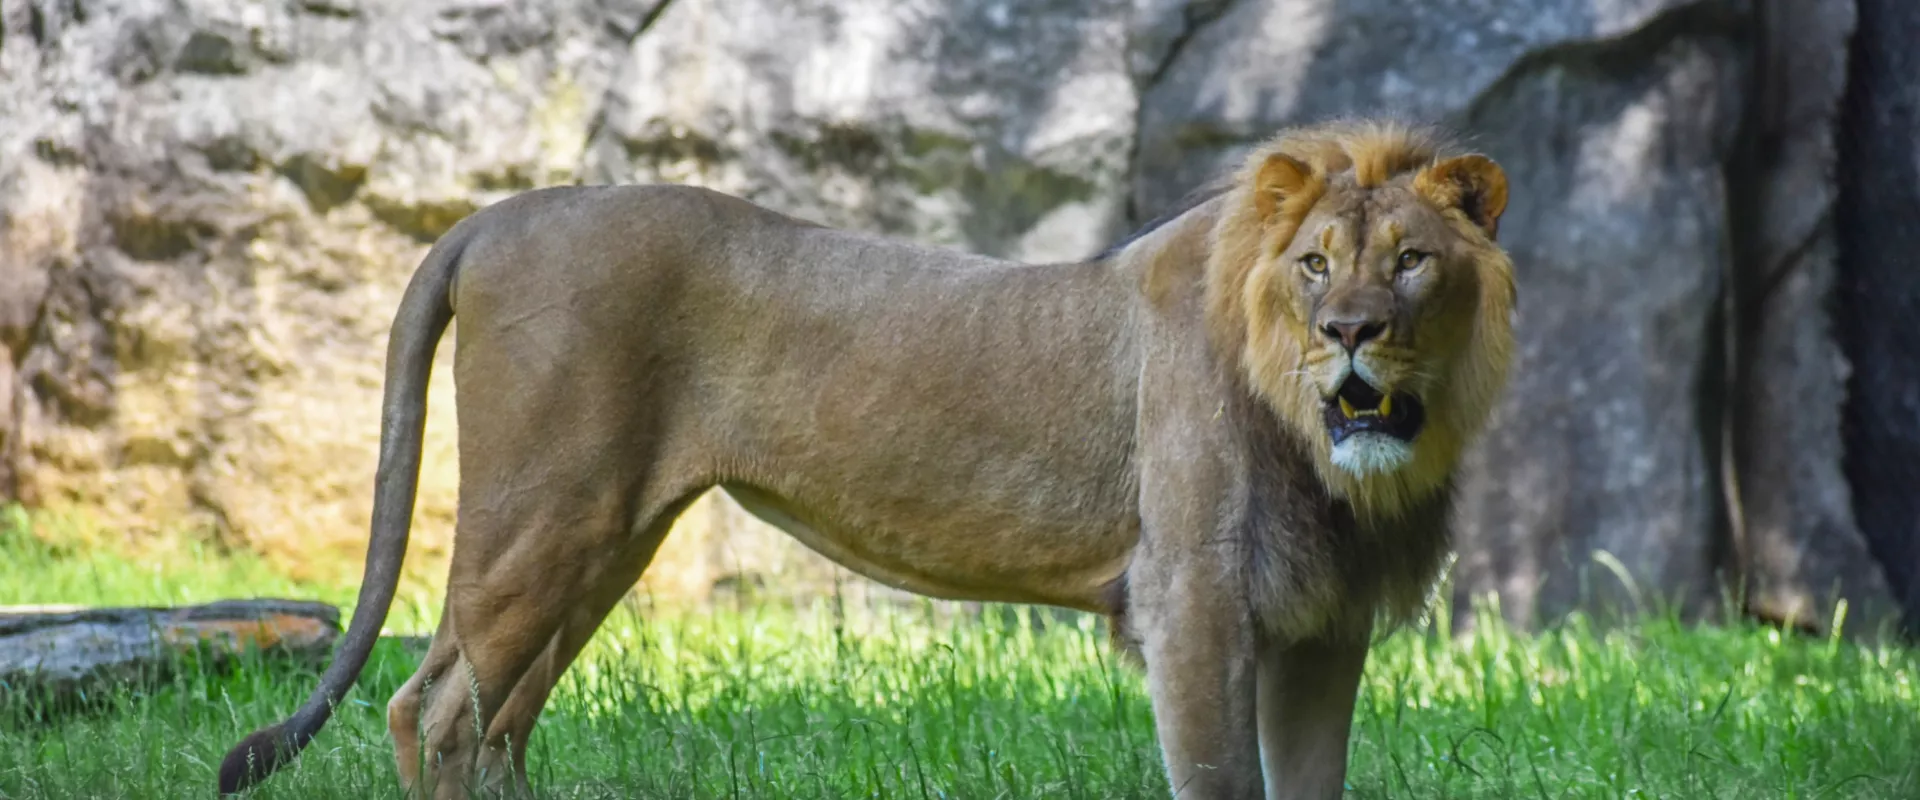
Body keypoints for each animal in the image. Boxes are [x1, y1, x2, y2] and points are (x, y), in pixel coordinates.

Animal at [218, 118, 1514, 800]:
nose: (1350, 332)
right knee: (433, 706)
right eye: (1313, 263)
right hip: (544, 514)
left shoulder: (1323, 623)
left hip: (603, 539)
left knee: (497, 718)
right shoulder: (1193, 598)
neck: (1333, 460)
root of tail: (498, 215)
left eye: (1410, 260)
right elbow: (1218, 777)